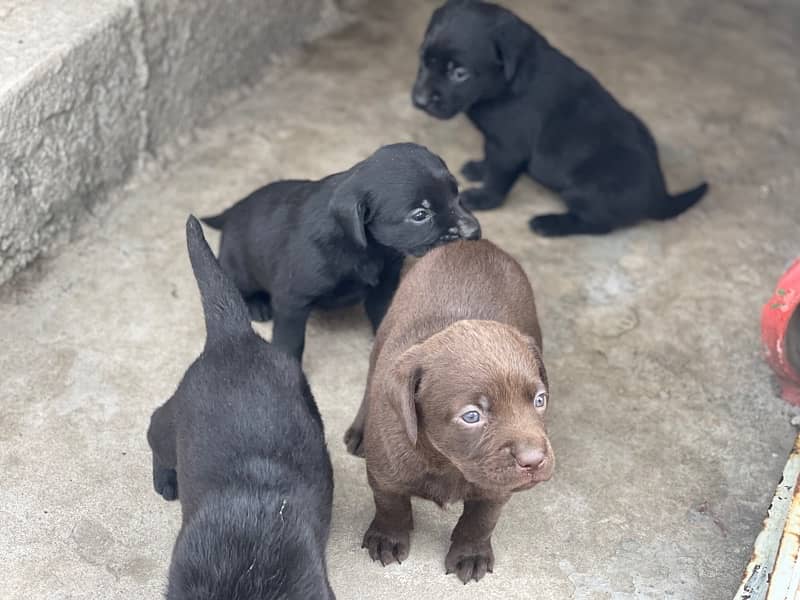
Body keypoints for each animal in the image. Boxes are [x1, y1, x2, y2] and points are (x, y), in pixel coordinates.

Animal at [206, 144, 482, 360]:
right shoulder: (291, 300)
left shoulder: (384, 288)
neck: (368, 250)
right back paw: (257, 304)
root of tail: (234, 210)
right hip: (239, 268)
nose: (474, 232)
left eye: (456, 192)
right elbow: (290, 340)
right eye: (420, 215)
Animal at [344, 240, 556, 584]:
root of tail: (474, 243)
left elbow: (481, 520)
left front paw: (470, 554)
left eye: (539, 400)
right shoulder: (384, 472)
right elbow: (390, 505)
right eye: (471, 416)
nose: (534, 460)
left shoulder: (495, 489)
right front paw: (388, 538)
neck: (447, 462)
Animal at [412, 1, 708, 237]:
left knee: (598, 225)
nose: (420, 101)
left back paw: (550, 224)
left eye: (459, 73)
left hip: (586, 189)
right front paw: (478, 168)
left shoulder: (510, 147)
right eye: (424, 59)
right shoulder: (497, 141)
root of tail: (660, 195)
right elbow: (490, 159)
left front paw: (483, 198)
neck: (507, 82)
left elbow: (499, 176)